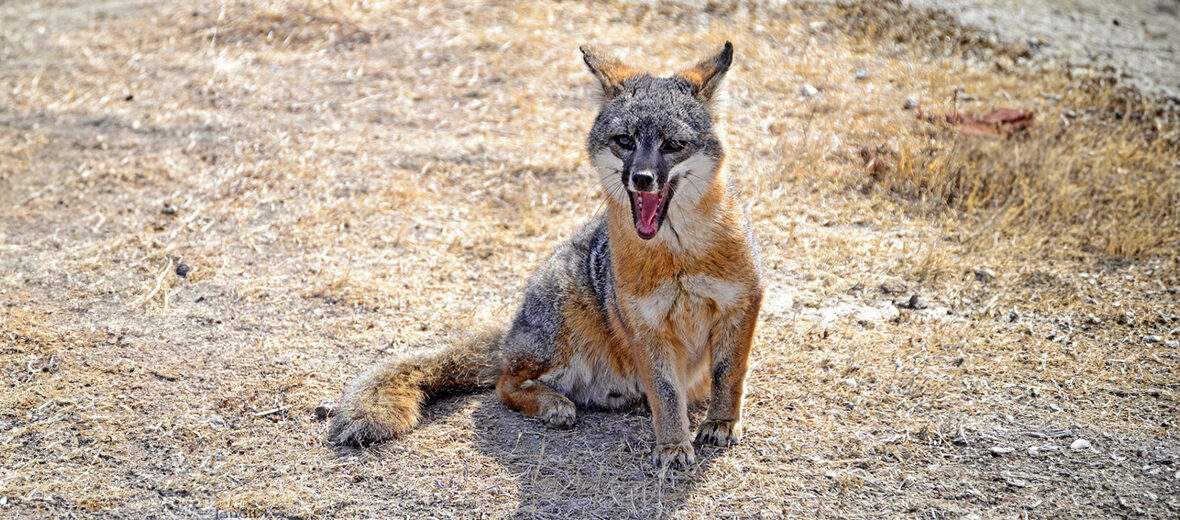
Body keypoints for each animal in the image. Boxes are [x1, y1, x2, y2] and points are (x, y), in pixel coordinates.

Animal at [328, 40, 759, 469]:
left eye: (673, 145)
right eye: (625, 141)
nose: (641, 178)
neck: (679, 259)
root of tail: (511, 330)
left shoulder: (742, 306)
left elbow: (729, 376)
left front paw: (720, 422)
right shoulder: (646, 326)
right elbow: (667, 395)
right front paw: (672, 444)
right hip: (562, 331)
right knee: (504, 383)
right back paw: (554, 404)